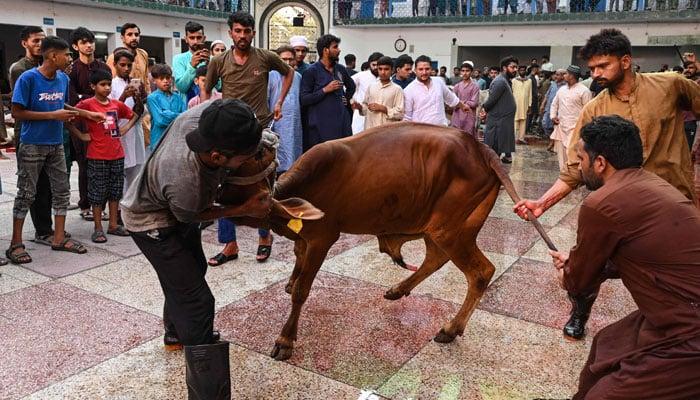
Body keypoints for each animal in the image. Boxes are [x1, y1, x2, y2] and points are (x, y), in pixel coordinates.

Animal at [223, 121, 520, 360]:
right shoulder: (304, 238)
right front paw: (290, 281)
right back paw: (398, 290)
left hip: (450, 230)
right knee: (436, 258)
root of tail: (480, 148)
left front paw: (285, 340)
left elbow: (301, 291)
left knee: (481, 272)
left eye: (256, 155)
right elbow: (297, 260)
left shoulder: (322, 237)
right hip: (440, 227)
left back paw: (451, 328)